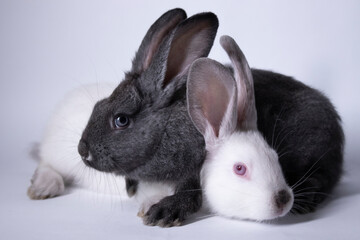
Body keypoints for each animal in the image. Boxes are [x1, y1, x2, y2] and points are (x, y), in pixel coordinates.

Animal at [77, 8, 218, 227]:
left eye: (121, 120)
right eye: (98, 105)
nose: (82, 150)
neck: (165, 130)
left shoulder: (195, 164)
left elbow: (191, 196)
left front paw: (163, 213)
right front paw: (131, 187)